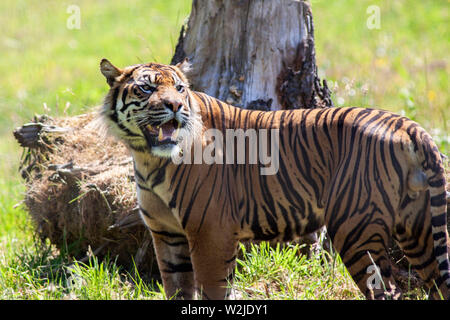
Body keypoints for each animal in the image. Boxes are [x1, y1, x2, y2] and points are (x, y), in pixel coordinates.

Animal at [99, 58, 450, 300]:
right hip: (419, 230)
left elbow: (214, 291)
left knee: (387, 290)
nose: (174, 105)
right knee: (437, 284)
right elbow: (178, 290)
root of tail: (407, 124)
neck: (149, 159)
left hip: (356, 229)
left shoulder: (210, 233)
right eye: (147, 87)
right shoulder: (167, 234)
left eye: (179, 88)